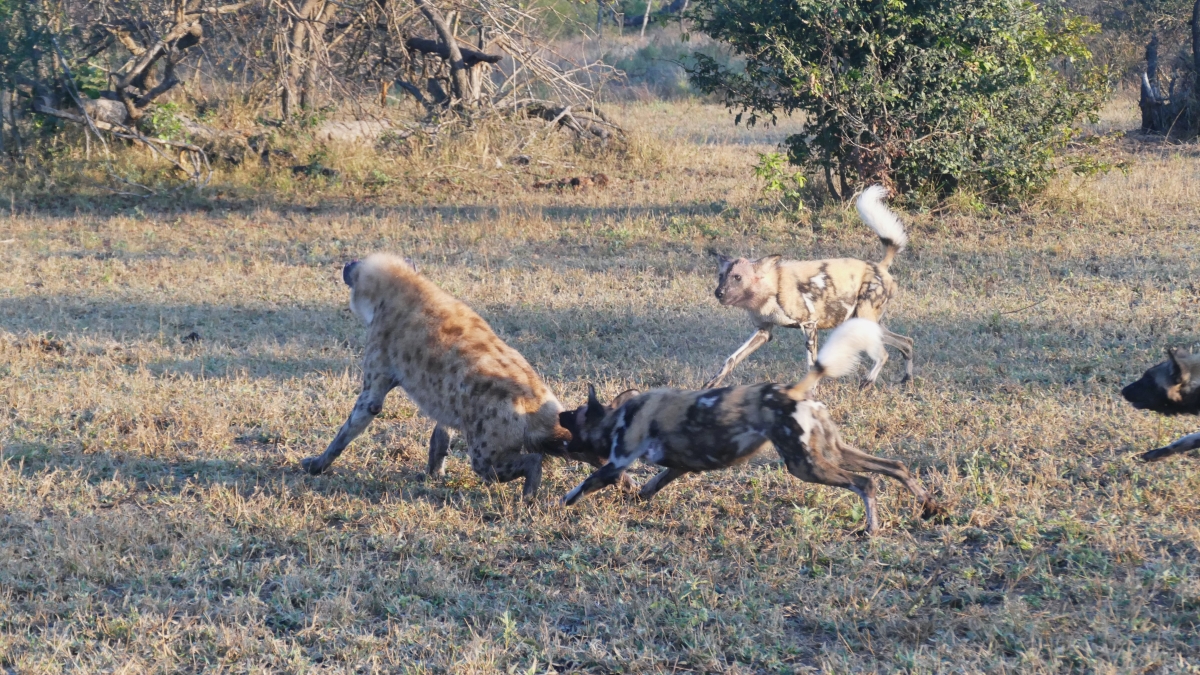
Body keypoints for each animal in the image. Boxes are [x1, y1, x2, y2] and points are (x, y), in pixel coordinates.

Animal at [302, 251, 583, 494]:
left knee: (527, 460)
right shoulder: (445, 399)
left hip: (485, 452)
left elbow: (350, 426)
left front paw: (315, 464)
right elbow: (440, 435)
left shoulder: (375, 376)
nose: (346, 263)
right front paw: (433, 473)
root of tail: (535, 401)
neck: (402, 288)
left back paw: (529, 495)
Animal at [556, 317, 940, 533]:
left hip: (804, 466)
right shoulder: (678, 467)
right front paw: (635, 499)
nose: (559, 416)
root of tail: (794, 390)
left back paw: (871, 530)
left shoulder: (616, 463)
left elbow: (582, 486)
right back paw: (928, 505)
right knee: (894, 466)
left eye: (574, 414)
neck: (620, 415)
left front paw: (557, 505)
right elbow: (648, 488)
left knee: (866, 482)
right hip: (832, 451)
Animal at [705, 183, 912, 386]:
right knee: (907, 342)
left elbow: (812, 366)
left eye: (738, 277)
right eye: (721, 276)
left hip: (864, 319)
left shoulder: (810, 325)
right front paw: (710, 385)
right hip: (863, 322)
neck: (770, 290)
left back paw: (868, 381)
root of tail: (879, 266)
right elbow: (731, 360)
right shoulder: (763, 331)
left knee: (884, 354)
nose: (718, 293)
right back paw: (906, 379)